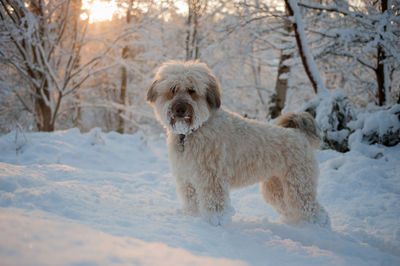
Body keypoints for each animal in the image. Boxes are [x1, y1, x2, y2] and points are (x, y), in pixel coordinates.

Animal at [145, 60, 330, 227]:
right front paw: (193, 217)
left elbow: (214, 205)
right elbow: (192, 203)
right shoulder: (187, 179)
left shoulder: (211, 178)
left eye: (192, 90)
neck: (193, 131)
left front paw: (215, 223)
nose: (180, 109)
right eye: (173, 89)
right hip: (276, 188)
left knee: (313, 209)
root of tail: (299, 135)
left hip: (298, 185)